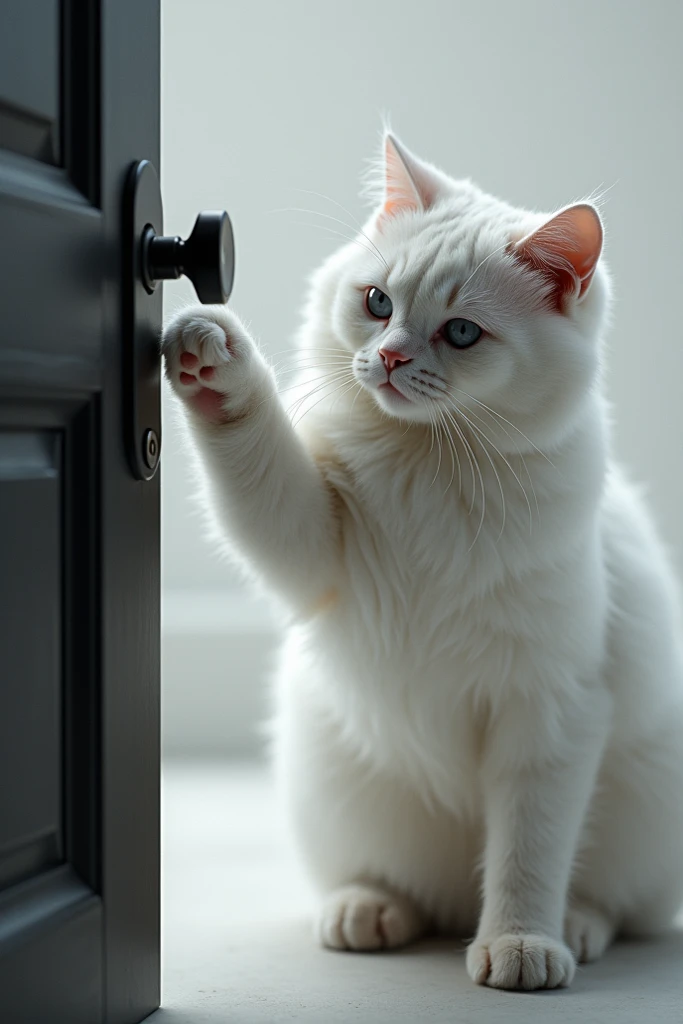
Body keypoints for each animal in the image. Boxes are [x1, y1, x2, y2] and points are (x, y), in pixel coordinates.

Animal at [161, 132, 683, 987]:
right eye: (377, 303)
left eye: (461, 333)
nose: (389, 360)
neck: (432, 462)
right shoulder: (308, 543)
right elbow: (252, 448)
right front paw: (214, 363)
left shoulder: (551, 711)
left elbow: (528, 851)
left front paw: (517, 944)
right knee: (396, 888)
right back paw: (368, 911)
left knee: (608, 902)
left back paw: (570, 929)